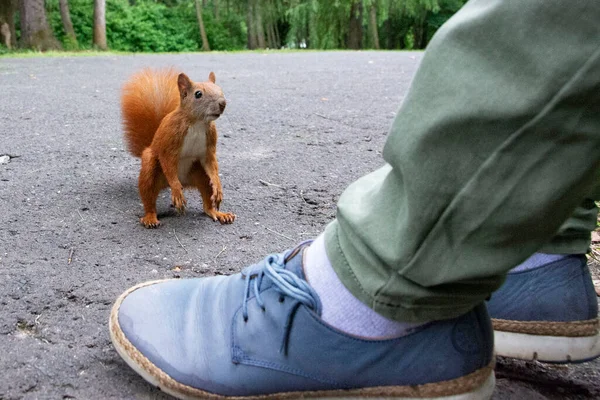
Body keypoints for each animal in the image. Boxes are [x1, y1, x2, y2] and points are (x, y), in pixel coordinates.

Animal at [120, 69, 236, 228]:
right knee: (149, 196)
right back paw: (150, 217)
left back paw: (218, 213)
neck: (197, 123)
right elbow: (167, 160)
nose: (222, 103)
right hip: (151, 168)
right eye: (198, 94)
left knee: (207, 200)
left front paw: (218, 187)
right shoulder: (170, 139)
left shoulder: (209, 145)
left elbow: (211, 163)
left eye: (220, 89)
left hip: (199, 173)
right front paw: (176, 191)